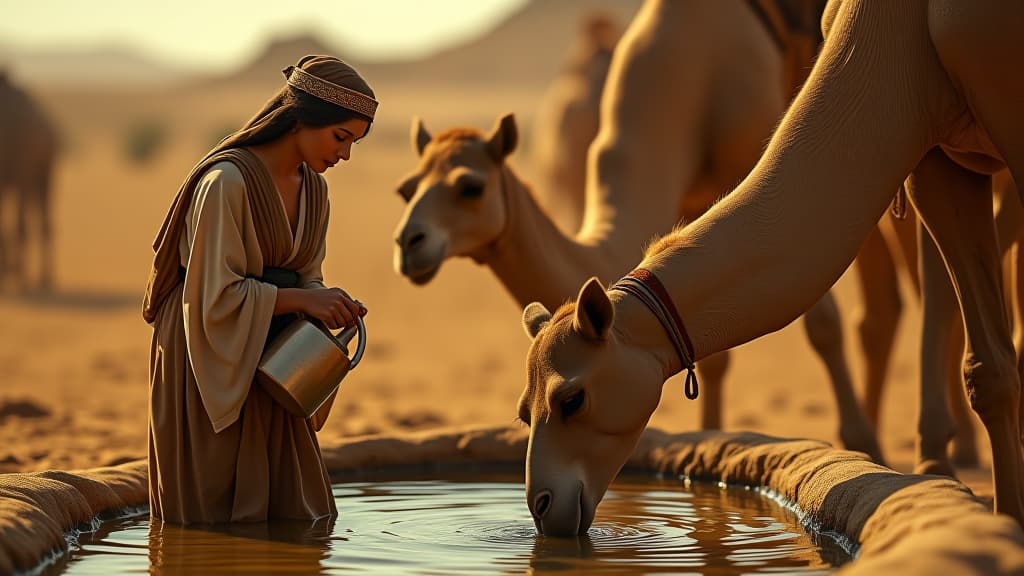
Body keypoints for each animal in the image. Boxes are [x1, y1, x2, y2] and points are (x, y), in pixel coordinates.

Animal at [0, 71, 57, 291]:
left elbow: (15, 225)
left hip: (36, 170)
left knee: (28, 224)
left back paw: (31, 279)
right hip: (40, 174)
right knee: (43, 221)